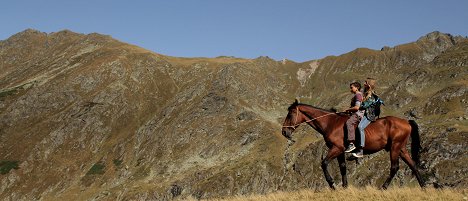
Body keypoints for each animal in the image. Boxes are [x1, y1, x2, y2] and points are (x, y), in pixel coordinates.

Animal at [280, 100, 426, 190]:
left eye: (290, 114)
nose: (284, 132)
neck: (331, 123)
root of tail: (406, 122)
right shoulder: (339, 151)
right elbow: (343, 168)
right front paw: (344, 187)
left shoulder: (336, 148)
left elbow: (324, 163)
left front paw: (332, 184)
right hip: (401, 148)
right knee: (413, 165)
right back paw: (423, 186)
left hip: (395, 148)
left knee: (394, 167)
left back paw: (383, 187)